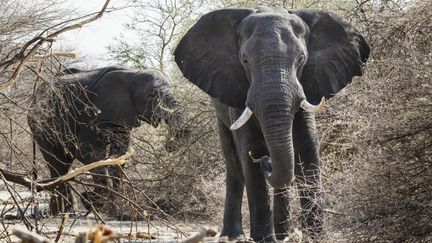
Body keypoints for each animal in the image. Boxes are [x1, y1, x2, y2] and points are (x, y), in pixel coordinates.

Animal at [26, 66, 189, 215]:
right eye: (152, 95)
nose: (170, 145)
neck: (131, 74)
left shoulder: (123, 116)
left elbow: (120, 154)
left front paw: (115, 207)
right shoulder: (92, 113)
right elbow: (86, 152)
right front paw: (90, 201)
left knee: (64, 164)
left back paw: (66, 211)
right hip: (40, 126)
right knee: (57, 163)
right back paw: (60, 213)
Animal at [174, 6, 370, 240]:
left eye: (302, 60)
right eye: (245, 61)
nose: (266, 162)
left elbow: (307, 151)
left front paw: (316, 238)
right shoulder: (238, 92)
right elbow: (249, 153)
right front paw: (263, 240)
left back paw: (284, 235)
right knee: (234, 163)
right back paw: (234, 236)